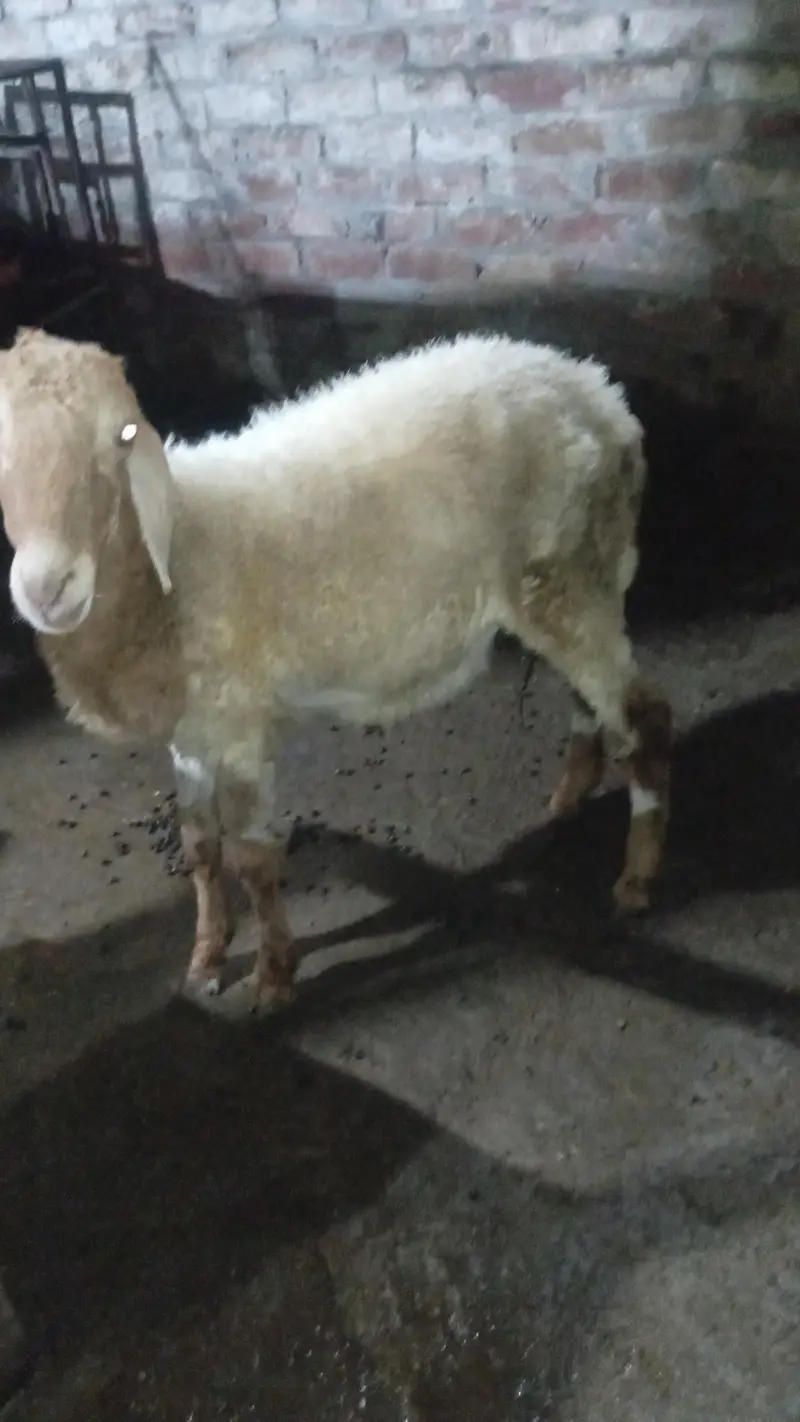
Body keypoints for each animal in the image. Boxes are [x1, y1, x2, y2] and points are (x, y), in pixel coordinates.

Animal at [0, 326, 672, 1011]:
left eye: (119, 439)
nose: (47, 587)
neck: (174, 565)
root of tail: (598, 395)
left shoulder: (241, 725)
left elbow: (252, 859)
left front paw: (273, 975)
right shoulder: (191, 734)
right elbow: (199, 846)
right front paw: (208, 956)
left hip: (569, 579)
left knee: (645, 715)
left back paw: (636, 878)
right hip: (565, 587)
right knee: (589, 699)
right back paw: (571, 794)